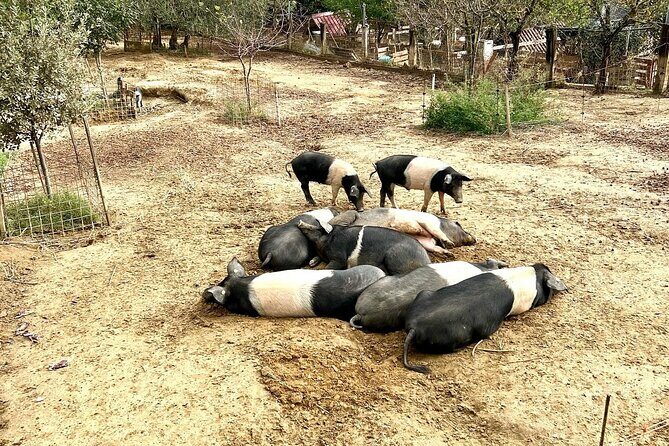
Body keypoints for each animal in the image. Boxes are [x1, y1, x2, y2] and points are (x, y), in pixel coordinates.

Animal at [297, 221, 431, 275]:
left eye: (317, 228)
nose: (300, 222)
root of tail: (427, 260)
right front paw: (311, 262)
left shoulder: (339, 257)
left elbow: (330, 267)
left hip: (395, 256)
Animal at [328, 208, 476, 256]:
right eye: (460, 225)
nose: (475, 238)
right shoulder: (429, 221)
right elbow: (435, 230)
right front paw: (449, 243)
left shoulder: (426, 241)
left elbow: (432, 246)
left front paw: (450, 254)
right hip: (349, 215)